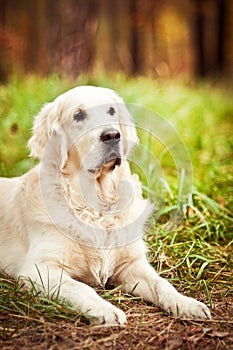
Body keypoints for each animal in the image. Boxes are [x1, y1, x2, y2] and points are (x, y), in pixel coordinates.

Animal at [0, 86, 211, 324]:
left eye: (111, 110)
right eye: (78, 115)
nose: (112, 135)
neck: (98, 204)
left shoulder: (131, 263)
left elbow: (161, 283)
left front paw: (187, 304)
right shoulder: (40, 269)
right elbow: (81, 288)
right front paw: (106, 310)